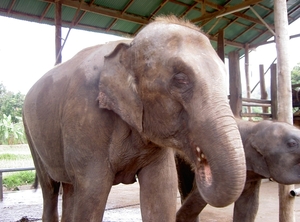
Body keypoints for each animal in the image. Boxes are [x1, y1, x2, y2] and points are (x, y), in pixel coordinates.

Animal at [22, 16, 246, 222]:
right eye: (180, 79)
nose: (201, 167)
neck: (129, 44)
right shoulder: (85, 116)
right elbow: (92, 194)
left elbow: (161, 193)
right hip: (31, 135)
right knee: (51, 189)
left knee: (68, 188)